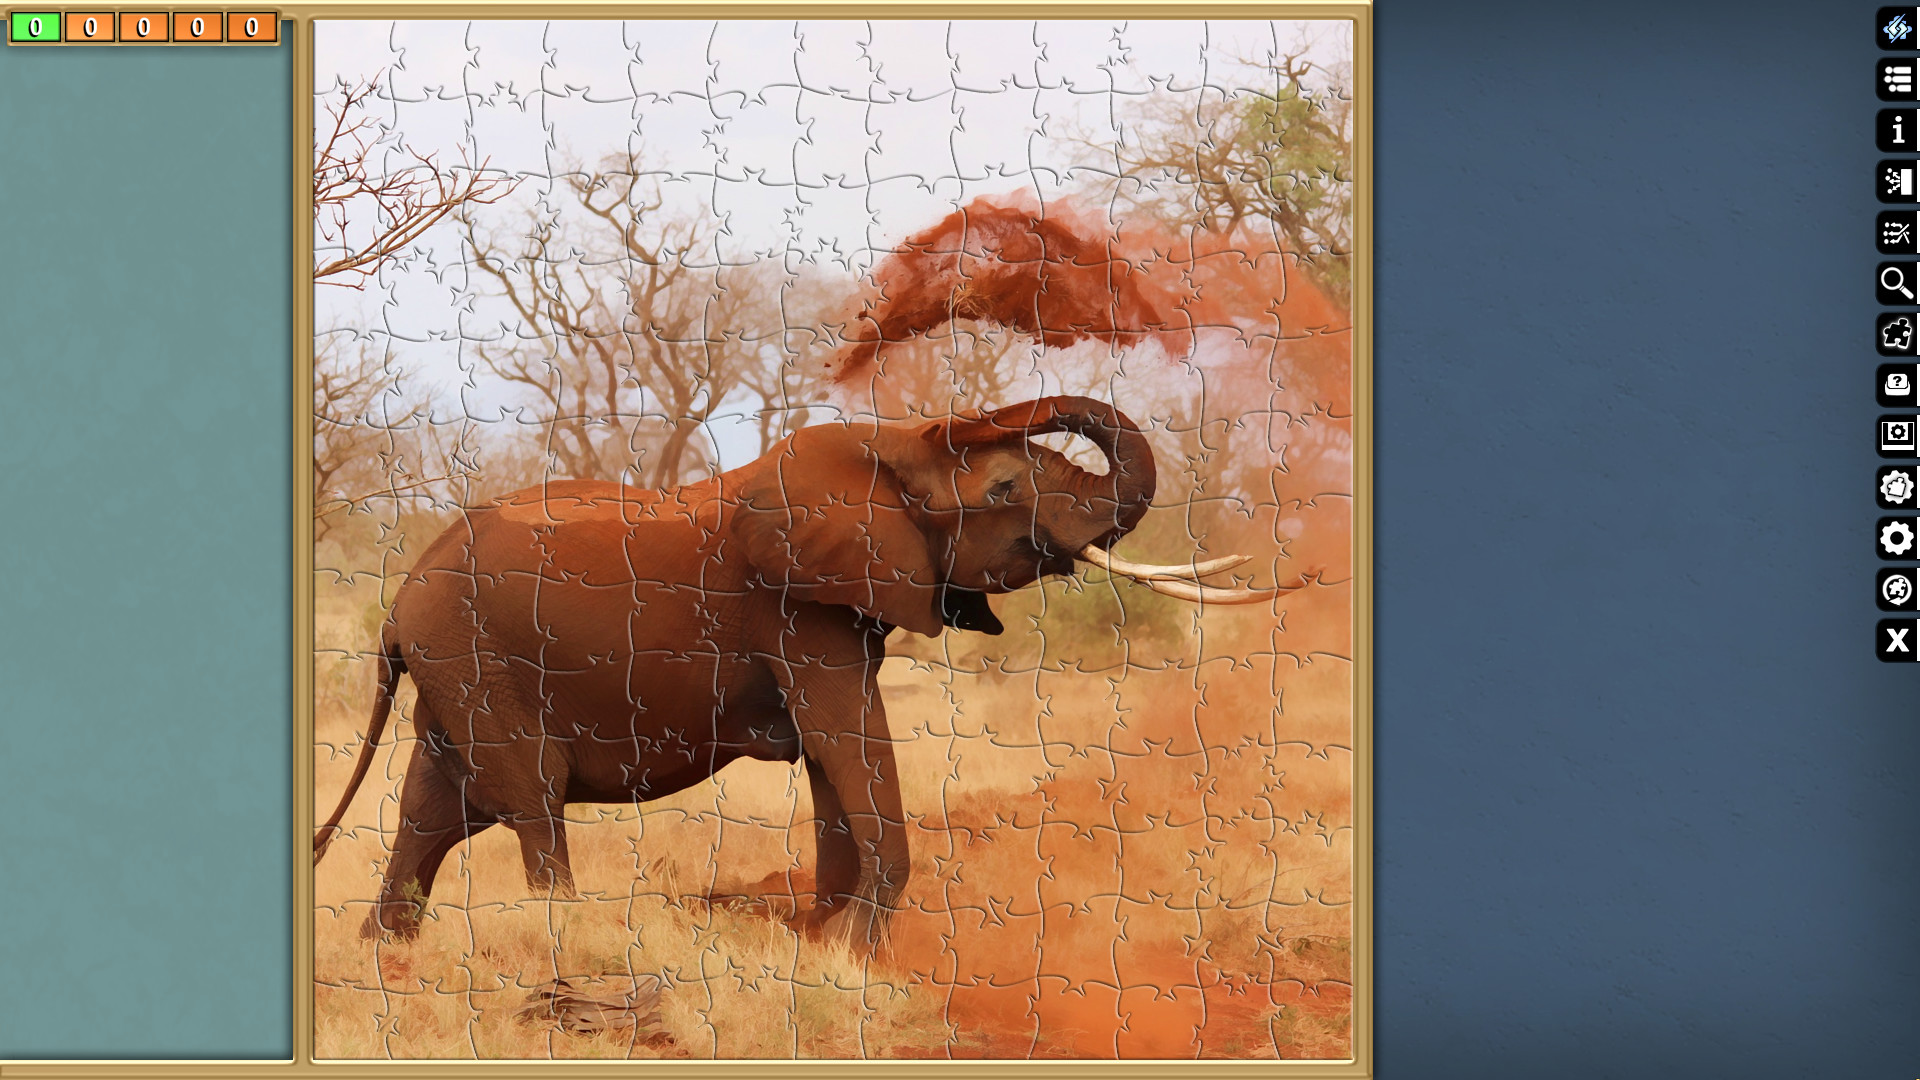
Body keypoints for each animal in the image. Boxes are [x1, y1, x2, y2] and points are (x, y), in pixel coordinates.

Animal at [313, 395, 1288, 945]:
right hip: (474, 657)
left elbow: (832, 755)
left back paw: (384, 953)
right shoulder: (797, 606)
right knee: (529, 796)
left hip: (454, 664)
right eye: (1006, 490)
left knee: (434, 808)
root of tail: (397, 604)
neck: (881, 448)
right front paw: (855, 948)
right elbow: (847, 736)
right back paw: (561, 934)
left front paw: (820, 938)